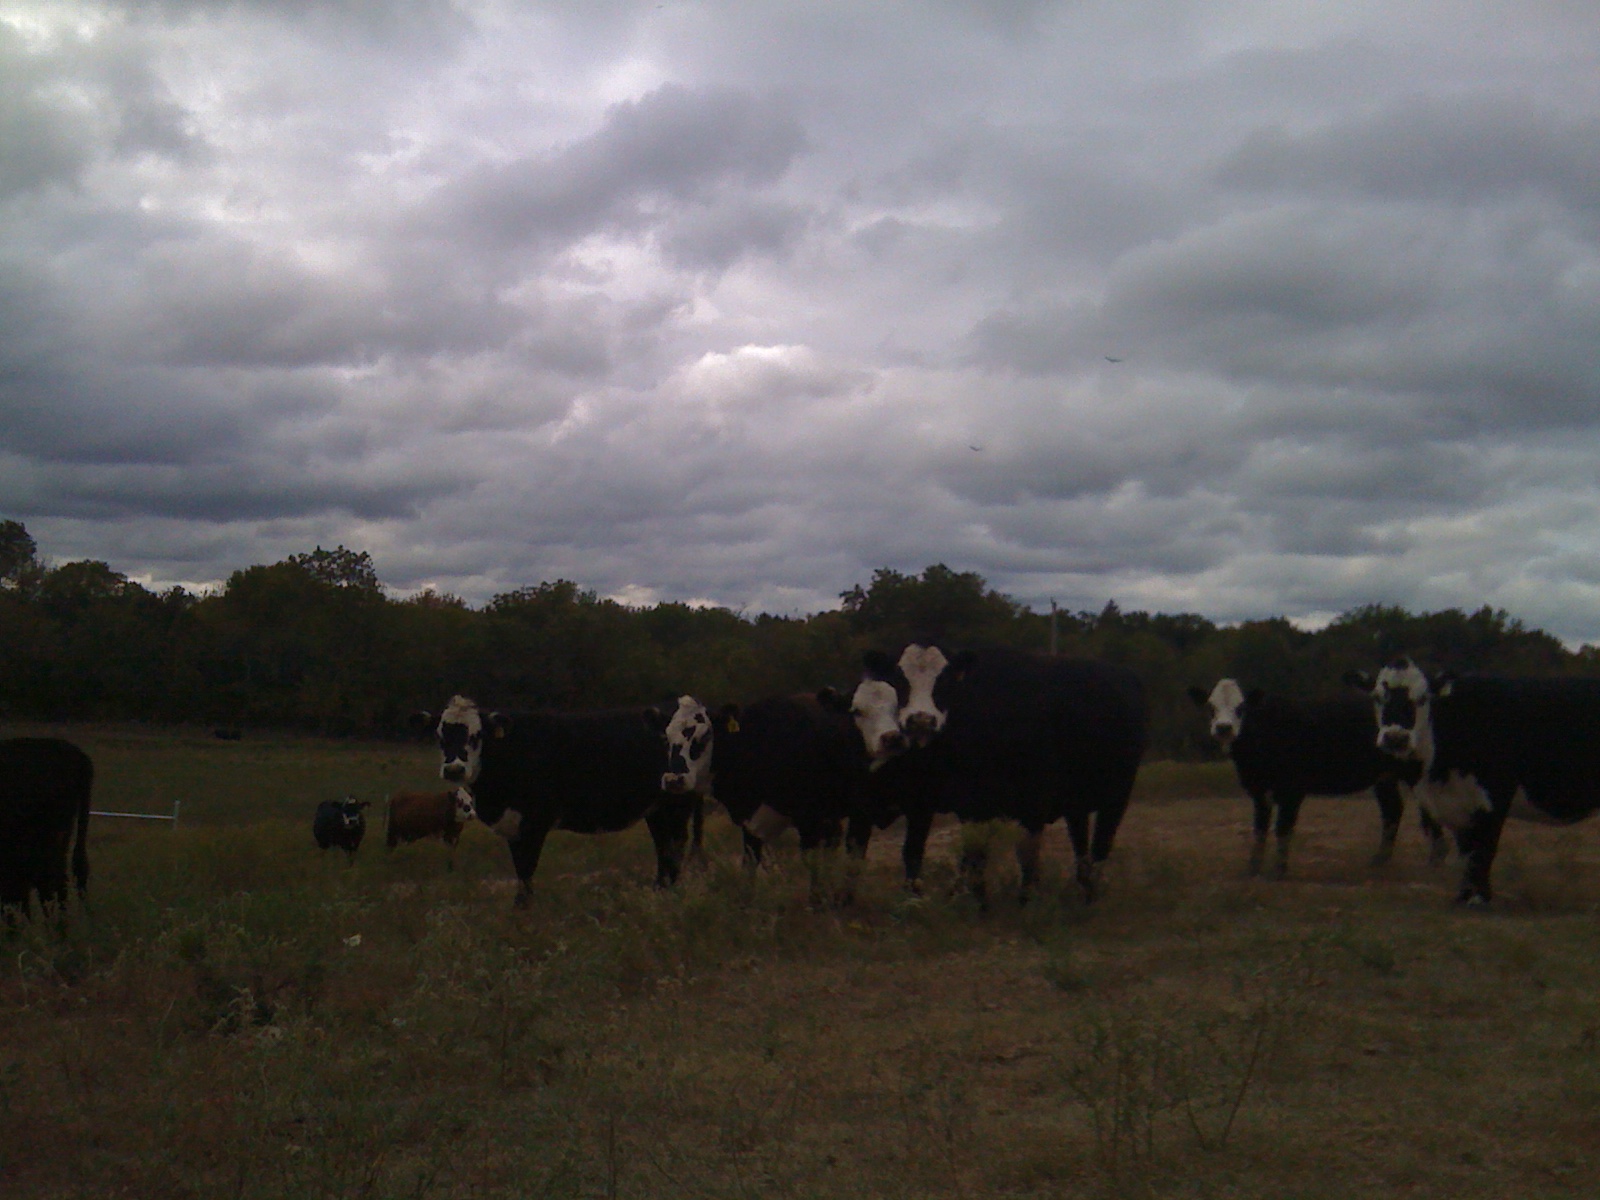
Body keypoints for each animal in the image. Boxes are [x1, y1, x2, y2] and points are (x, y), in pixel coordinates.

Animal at [422, 694, 697, 902]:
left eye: (476, 736)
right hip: (658, 810)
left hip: (677, 805)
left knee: (676, 846)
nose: (454, 769)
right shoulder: (514, 826)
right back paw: (659, 892)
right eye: (440, 736)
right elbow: (520, 872)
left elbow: (526, 871)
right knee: (664, 849)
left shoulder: (534, 824)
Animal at [825, 643, 1152, 908]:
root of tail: (1126, 676)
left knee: (1100, 846)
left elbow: (1025, 853)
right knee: (1081, 844)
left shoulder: (1033, 801)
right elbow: (972, 853)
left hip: (1117, 797)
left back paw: (1090, 896)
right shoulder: (967, 805)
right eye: (900, 679)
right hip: (1077, 804)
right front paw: (976, 900)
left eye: (945, 681)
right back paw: (1082, 889)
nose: (921, 720)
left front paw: (1024, 901)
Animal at [1190, 681, 1440, 876]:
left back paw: (1436, 859)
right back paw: (1379, 860)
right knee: (1392, 809)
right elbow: (1259, 829)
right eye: (1211, 707)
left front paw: (1279, 870)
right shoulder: (1258, 790)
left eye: (1241, 708)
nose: (1223, 728)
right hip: (1384, 777)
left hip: (1416, 771)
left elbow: (1283, 828)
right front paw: (1253, 869)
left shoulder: (1292, 790)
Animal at [1350, 662, 1600, 908]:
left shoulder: (1495, 797)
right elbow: (1467, 852)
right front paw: (1464, 895)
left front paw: (1479, 897)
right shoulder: (1458, 807)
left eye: (1422, 698)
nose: (1395, 738)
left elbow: (1484, 849)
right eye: (1377, 697)